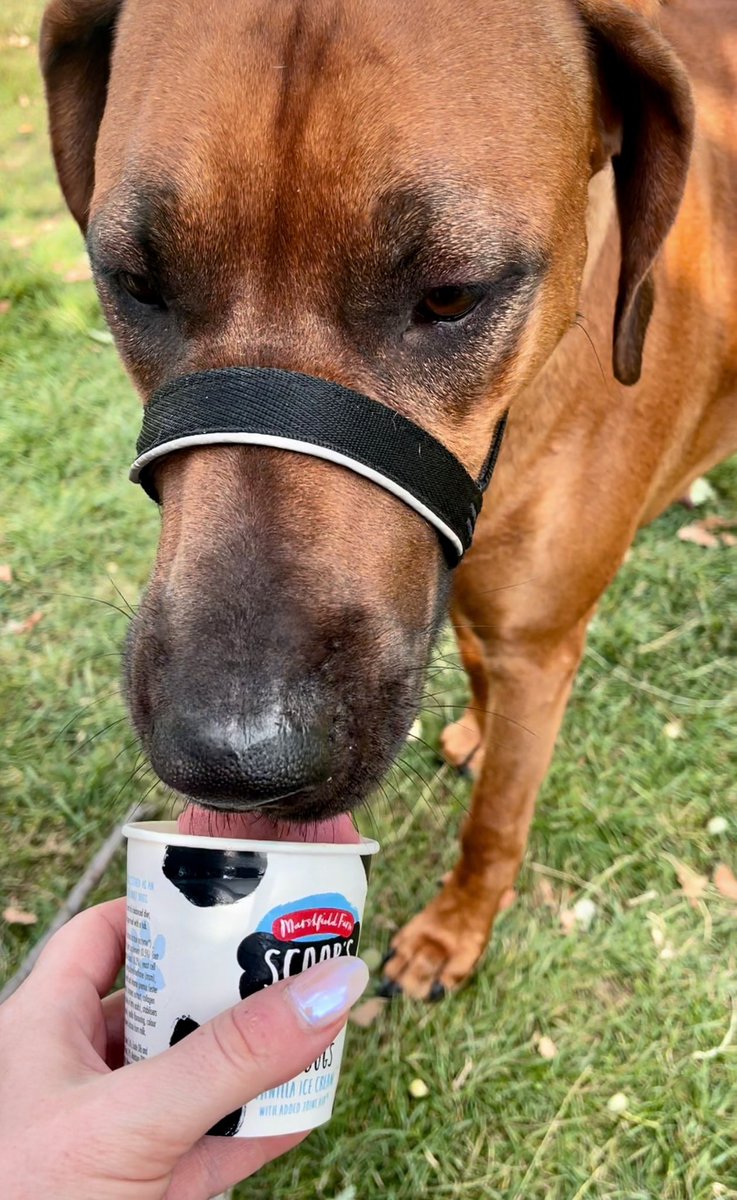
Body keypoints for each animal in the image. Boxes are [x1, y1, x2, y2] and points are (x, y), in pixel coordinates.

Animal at [40, 0, 737, 1003]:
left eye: (450, 296)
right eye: (134, 284)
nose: (234, 760)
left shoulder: (539, 644)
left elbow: (495, 821)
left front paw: (454, 930)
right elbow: (476, 669)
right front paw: (479, 735)